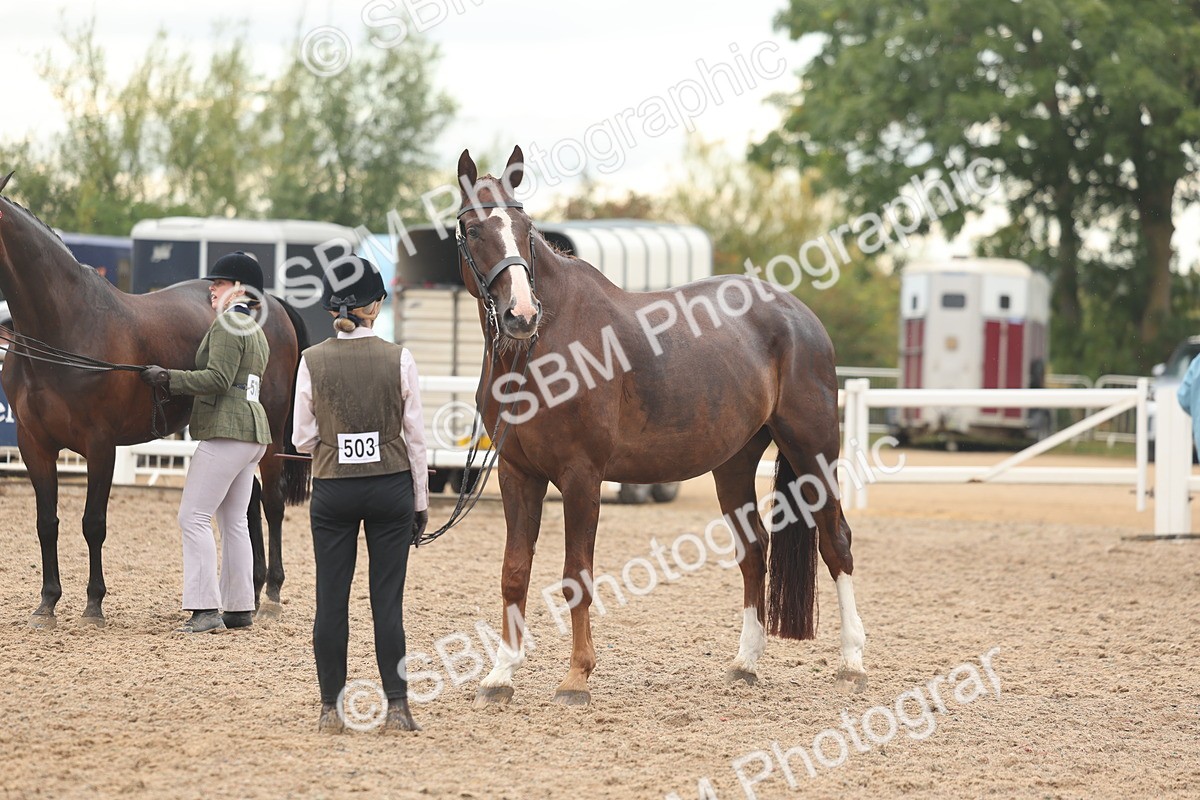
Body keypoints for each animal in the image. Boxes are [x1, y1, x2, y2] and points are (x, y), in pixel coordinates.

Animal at [0, 171, 310, 628]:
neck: (66, 326)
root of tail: (268, 302)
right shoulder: (33, 444)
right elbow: (46, 523)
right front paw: (47, 603)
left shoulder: (100, 445)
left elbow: (93, 523)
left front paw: (93, 605)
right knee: (249, 504)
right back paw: (248, 593)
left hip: (269, 434)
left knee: (272, 503)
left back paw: (271, 592)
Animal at [455, 147, 867, 707]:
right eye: (473, 228)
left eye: (524, 226)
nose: (521, 313)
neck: (545, 346)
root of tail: (799, 316)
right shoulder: (518, 474)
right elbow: (514, 573)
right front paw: (500, 675)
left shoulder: (581, 476)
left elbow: (576, 576)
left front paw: (576, 677)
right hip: (734, 464)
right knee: (753, 551)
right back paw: (745, 663)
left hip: (814, 451)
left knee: (835, 541)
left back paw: (852, 662)